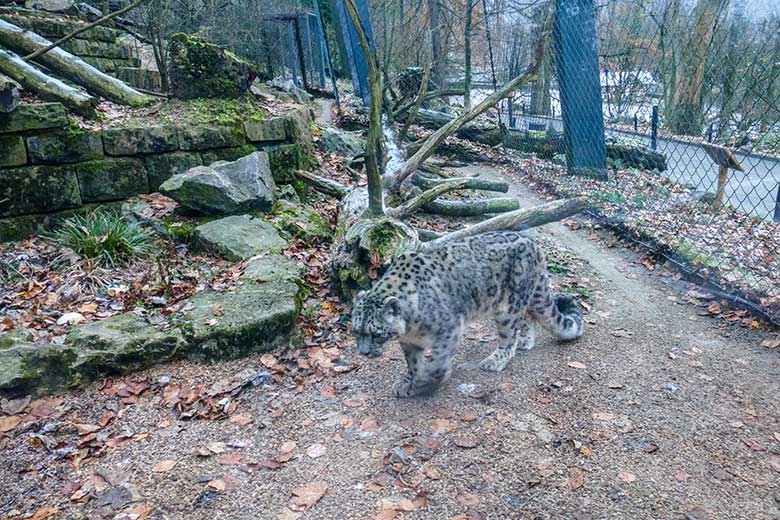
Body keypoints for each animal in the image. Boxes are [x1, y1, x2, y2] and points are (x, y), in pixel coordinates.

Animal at [350, 232, 580, 398]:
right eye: (355, 332)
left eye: (376, 334)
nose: (363, 352)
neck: (410, 328)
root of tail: (535, 245)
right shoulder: (409, 342)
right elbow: (413, 363)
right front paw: (408, 382)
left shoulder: (448, 328)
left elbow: (437, 362)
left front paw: (426, 382)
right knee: (528, 318)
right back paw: (526, 341)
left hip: (509, 305)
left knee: (510, 335)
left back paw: (496, 360)